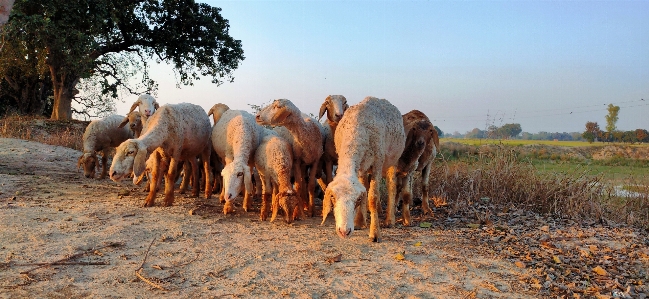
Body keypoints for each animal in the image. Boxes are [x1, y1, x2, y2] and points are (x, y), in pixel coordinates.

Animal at [320, 97, 404, 243]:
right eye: (332, 197)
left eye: (358, 199)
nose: (344, 231)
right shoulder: (360, 168)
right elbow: (365, 189)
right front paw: (359, 222)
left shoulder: (377, 163)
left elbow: (372, 197)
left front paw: (375, 233)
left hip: (393, 159)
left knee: (391, 186)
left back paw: (389, 220)